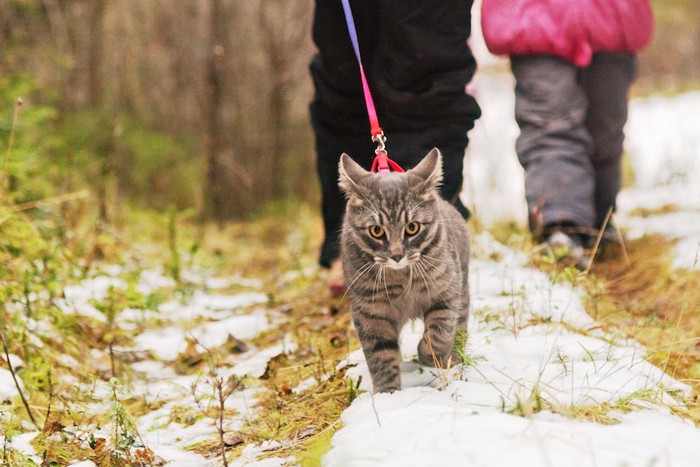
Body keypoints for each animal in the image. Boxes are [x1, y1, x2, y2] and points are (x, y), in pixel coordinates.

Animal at [340, 148, 470, 394]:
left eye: (412, 228)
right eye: (376, 231)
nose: (397, 255)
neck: (401, 278)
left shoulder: (446, 292)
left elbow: (439, 333)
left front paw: (428, 355)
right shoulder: (370, 312)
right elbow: (380, 356)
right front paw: (388, 394)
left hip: (463, 289)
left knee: (459, 326)